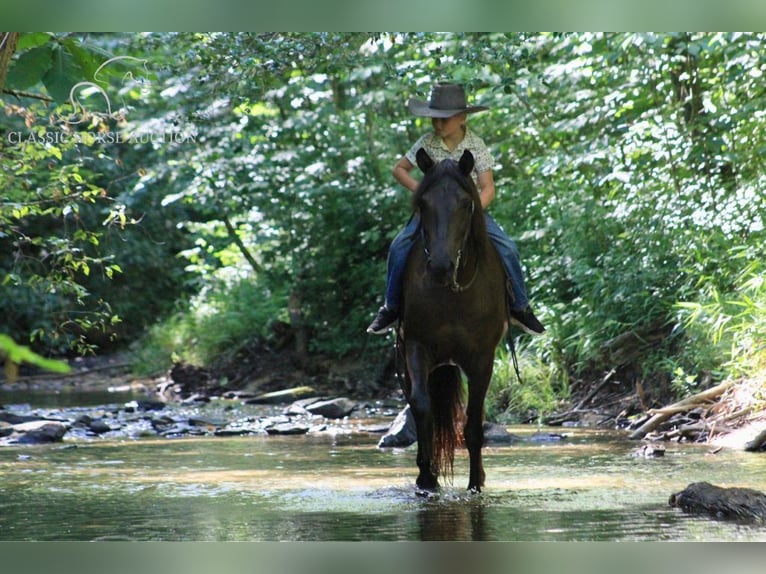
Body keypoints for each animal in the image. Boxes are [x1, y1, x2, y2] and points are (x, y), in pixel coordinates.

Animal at [402, 148, 510, 496]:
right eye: (423, 204)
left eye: (465, 203)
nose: (440, 266)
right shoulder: (415, 346)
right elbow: (422, 407)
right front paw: (426, 478)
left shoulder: (482, 358)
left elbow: (473, 423)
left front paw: (476, 485)